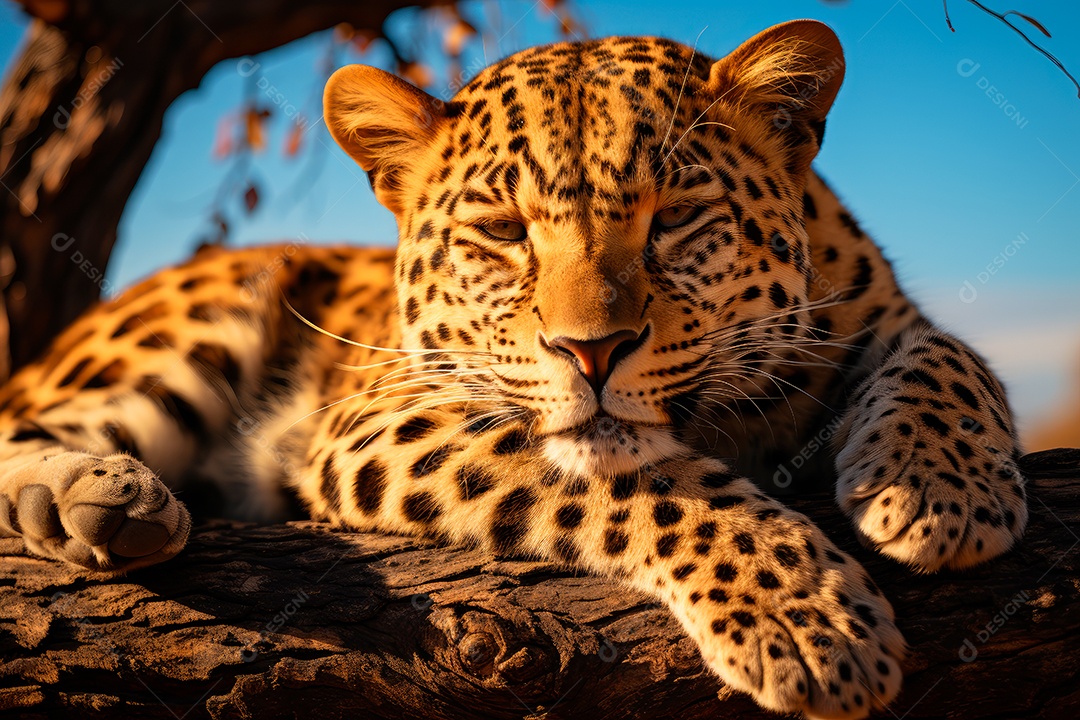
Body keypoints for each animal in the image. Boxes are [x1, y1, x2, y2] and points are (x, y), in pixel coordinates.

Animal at [0, 20, 1028, 719]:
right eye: (502, 231)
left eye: (674, 219)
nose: (592, 350)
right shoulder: (381, 417)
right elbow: (663, 486)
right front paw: (808, 623)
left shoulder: (877, 315)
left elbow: (950, 353)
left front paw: (939, 491)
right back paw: (105, 500)